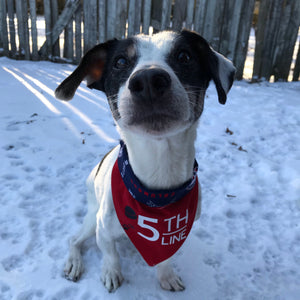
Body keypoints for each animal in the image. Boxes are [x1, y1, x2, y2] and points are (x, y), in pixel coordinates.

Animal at [55, 29, 236, 292]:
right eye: (120, 61)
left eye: (184, 56)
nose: (149, 80)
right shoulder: (103, 227)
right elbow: (110, 254)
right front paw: (111, 272)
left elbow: (166, 257)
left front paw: (167, 276)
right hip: (92, 217)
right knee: (74, 239)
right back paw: (74, 263)